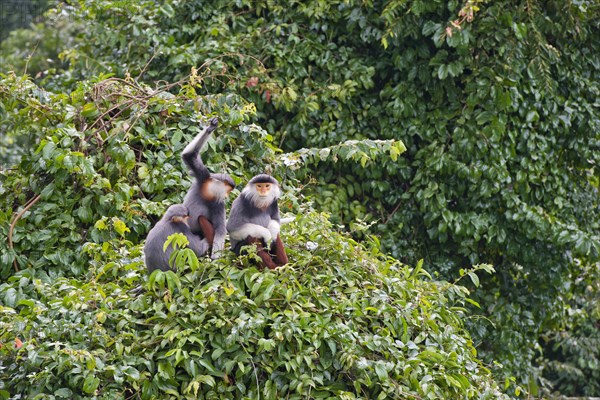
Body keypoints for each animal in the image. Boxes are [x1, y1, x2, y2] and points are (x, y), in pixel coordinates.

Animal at [182, 117, 236, 258]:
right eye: (228, 190)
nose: (227, 196)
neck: (208, 192)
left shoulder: (218, 204)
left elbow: (221, 231)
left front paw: (215, 261)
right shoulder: (203, 177)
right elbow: (189, 155)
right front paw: (211, 127)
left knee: (202, 219)